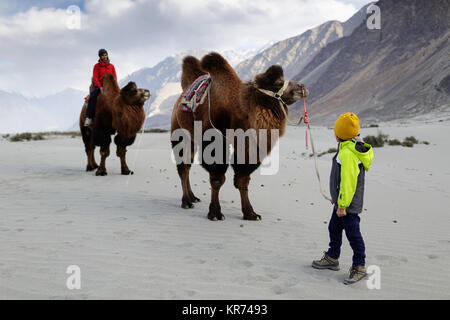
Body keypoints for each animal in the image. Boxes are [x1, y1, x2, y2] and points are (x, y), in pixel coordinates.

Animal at [171, 52, 308, 221]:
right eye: (278, 83)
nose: (302, 87)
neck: (242, 113)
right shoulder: (215, 142)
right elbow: (217, 179)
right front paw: (215, 213)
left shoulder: (248, 147)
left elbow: (243, 180)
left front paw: (250, 213)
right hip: (179, 131)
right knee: (183, 167)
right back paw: (186, 202)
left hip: (192, 138)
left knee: (187, 165)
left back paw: (193, 197)